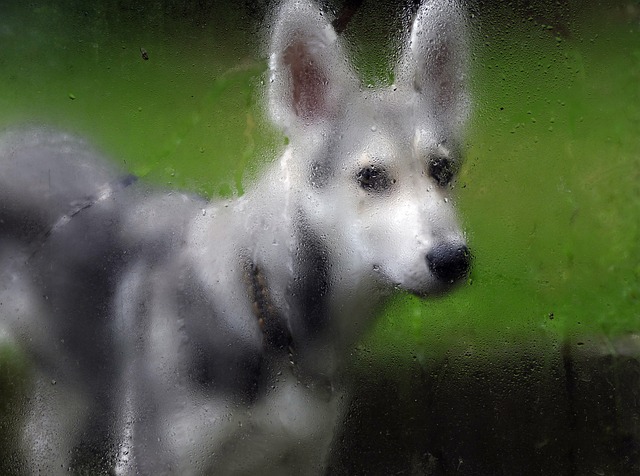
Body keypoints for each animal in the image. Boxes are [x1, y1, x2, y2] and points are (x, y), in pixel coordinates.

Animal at [0, 0, 470, 474]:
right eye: (371, 177)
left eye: (442, 170)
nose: (453, 260)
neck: (269, 311)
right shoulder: (155, 458)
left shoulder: (302, 458)